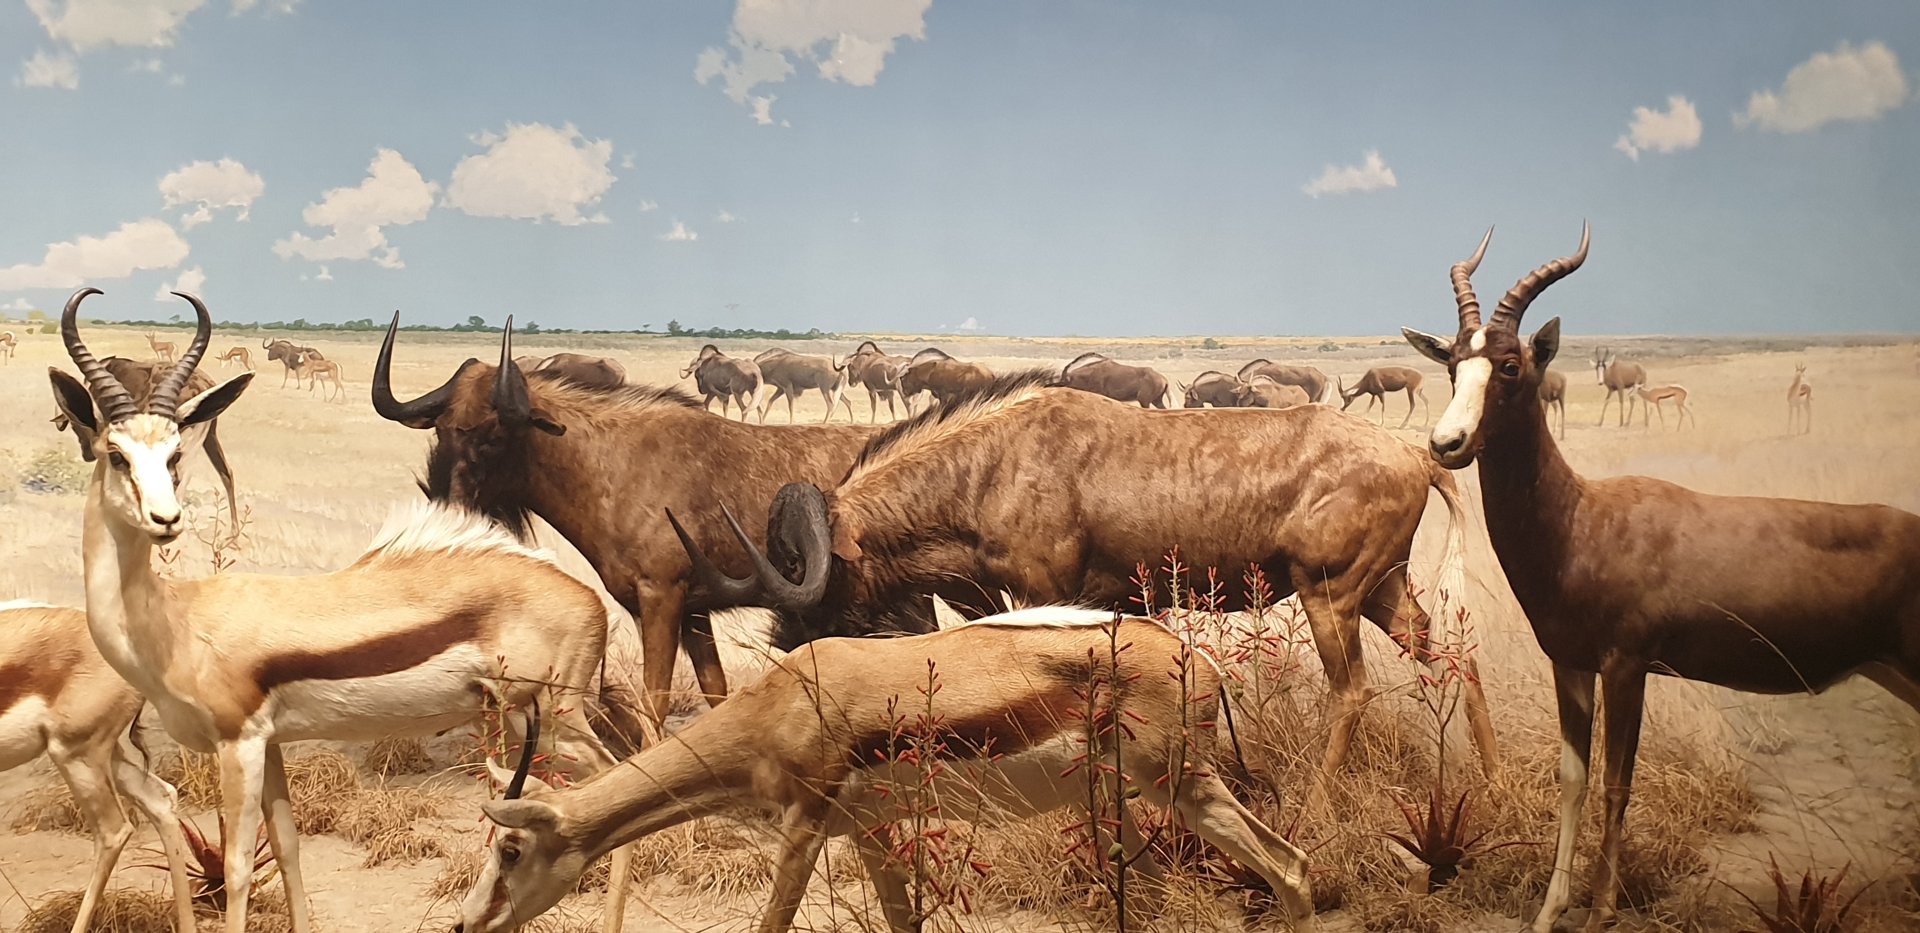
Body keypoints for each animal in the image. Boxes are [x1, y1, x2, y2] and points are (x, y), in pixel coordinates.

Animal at [47, 289, 640, 933]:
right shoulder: (270, 745)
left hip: (553, 714)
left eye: (176, 452)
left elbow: (237, 868)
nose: (165, 520)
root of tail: (587, 597)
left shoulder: (239, 744)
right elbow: (287, 848)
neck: (174, 622)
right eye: (115, 453)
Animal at [374, 316, 882, 739]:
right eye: (442, 430)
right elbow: (714, 691)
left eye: (494, 434)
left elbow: (653, 700)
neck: (614, 467)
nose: (448, 511)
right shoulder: (693, 612)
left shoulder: (660, 599)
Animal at [455, 608, 1318, 933]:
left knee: (1293, 866)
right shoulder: (867, 832)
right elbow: (905, 920)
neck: (784, 701)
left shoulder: (804, 828)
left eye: (511, 848)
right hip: (1125, 802)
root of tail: (1192, 651)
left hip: (1184, 787)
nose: (466, 923)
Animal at [677, 373, 1501, 784]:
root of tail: (1416, 456)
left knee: (1353, 692)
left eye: (793, 565)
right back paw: (1485, 782)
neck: (984, 468)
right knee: (1455, 656)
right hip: (1384, 592)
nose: (783, 645)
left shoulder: (1048, 596)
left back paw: (1319, 806)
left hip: (1334, 595)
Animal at [1403, 225, 1920, 933]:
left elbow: (1618, 780)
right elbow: (1574, 777)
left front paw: (1601, 911)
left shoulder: (1627, 665)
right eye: (1454, 363)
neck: (1585, 517)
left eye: (1511, 364)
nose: (1446, 444)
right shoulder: (1571, 664)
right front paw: (1551, 910)